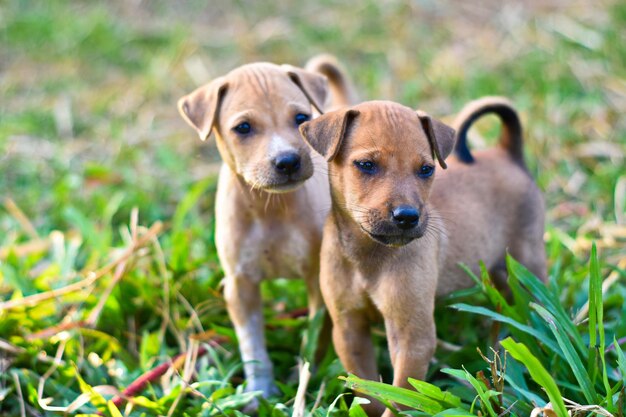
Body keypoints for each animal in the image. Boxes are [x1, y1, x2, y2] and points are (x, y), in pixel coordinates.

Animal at [176, 57, 352, 396]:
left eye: (301, 118)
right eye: (243, 127)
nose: (287, 161)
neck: (270, 209)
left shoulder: (318, 281)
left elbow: (314, 340)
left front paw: (304, 380)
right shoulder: (240, 286)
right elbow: (253, 347)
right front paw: (261, 391)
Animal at [300, 99, 544, 414]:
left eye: (426, 169)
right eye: (366, 165)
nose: (407, 217)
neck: (369, 256)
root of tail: (507, 154)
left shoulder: (412, 337)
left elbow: (401, 398)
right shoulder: (349, 329)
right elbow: (368, 390)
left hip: (528, 264)